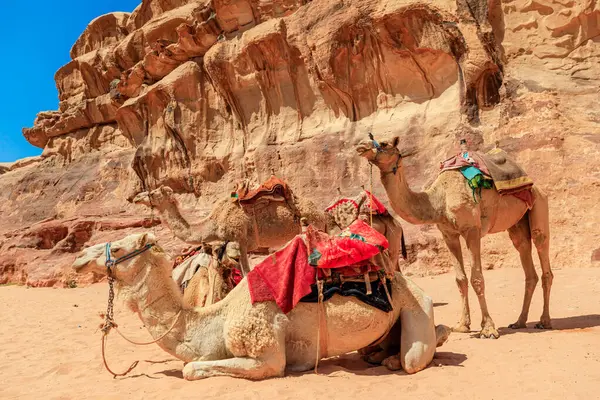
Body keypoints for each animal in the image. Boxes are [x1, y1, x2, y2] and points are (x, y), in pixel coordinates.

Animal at [71, 231, 450, 378]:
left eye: (121, 248)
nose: (79, 258)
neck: (217, 318)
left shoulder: (266, 353)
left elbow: (191, 368)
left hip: (414, 305)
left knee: (413, 359)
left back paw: (398, 357)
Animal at [132, 184, 328, 276]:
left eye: (153, 193)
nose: (135, 198)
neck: (214, 223)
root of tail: (321, 213)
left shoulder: (240, 240)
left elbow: (246, 273)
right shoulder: (236, 244)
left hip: (315, 224)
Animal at [356, 137, 552, 338]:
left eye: (384, 143)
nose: (361, 146)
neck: (439, 200)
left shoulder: (472, 229)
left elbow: (477, 278)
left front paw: (488, 328)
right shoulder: (448, 234)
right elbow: (460, 279)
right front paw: (462, 325)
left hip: (539, 203)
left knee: (542, 247)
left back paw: (544, 321)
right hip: (517, 223)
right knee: (525, 256)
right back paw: (520, 321)